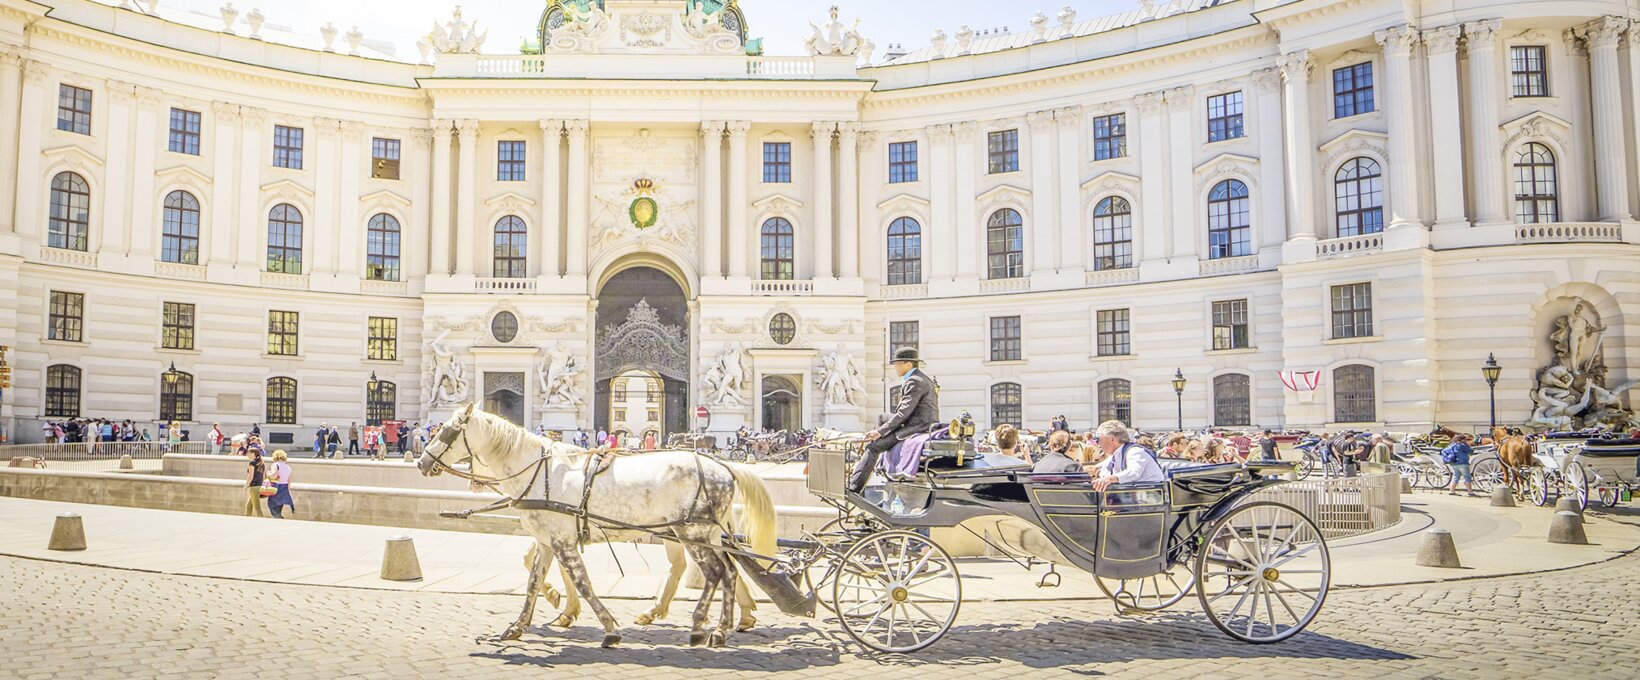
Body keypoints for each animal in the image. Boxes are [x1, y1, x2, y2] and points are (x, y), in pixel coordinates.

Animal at [416, 404, 774, 648]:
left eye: (445, 431)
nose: (421, 462)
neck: (538, 472)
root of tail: (723, 465)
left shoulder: (562, 541)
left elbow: (583, 582)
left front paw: (610, 629)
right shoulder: (547, 542)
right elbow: (533, 583)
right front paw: (519, 626)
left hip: (691, 533)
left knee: (715, 572)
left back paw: (701, 626)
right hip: (705, 533)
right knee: (729, 571)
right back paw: (723, 627)